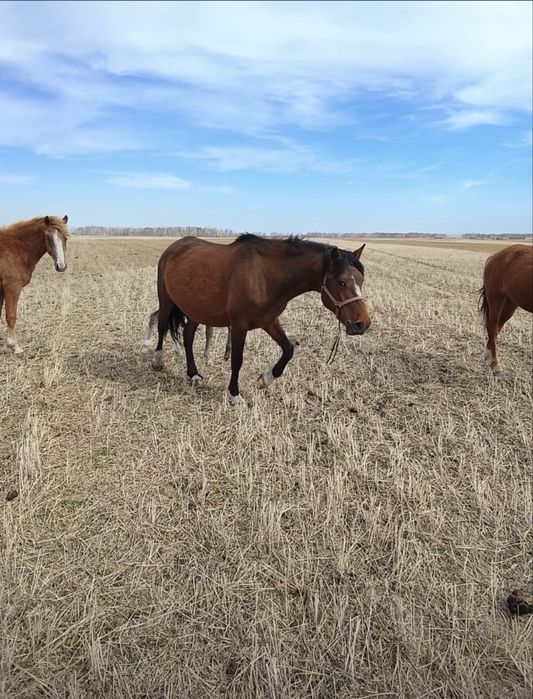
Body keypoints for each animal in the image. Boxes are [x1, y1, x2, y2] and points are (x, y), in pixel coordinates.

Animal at [0, 215, 69, 355]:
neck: (17, 248)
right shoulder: (12, 287)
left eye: (65, 238)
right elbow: (11, 315)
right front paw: (14, 345)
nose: (61, 266)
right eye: (48, 238)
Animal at [147, 234, 371, 405]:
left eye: (361, 280)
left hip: (198, 309)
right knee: (161, 325)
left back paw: (193, 373)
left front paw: (266, 378)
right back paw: (157, 361)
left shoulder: (269, 321)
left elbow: (288, 349)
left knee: (188, 336)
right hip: (166, 299)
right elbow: (237, 359)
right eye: (341, 282)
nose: (362, 324)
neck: (265, 275)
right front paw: (234, 394)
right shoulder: (239, 325)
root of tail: (174, 246)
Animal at [479, 244, 533, 376]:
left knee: (497, 327)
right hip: (495, 298)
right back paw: (495, 363)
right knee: (493, 328)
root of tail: (493, 257)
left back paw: (488, 357)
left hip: (510, 303)